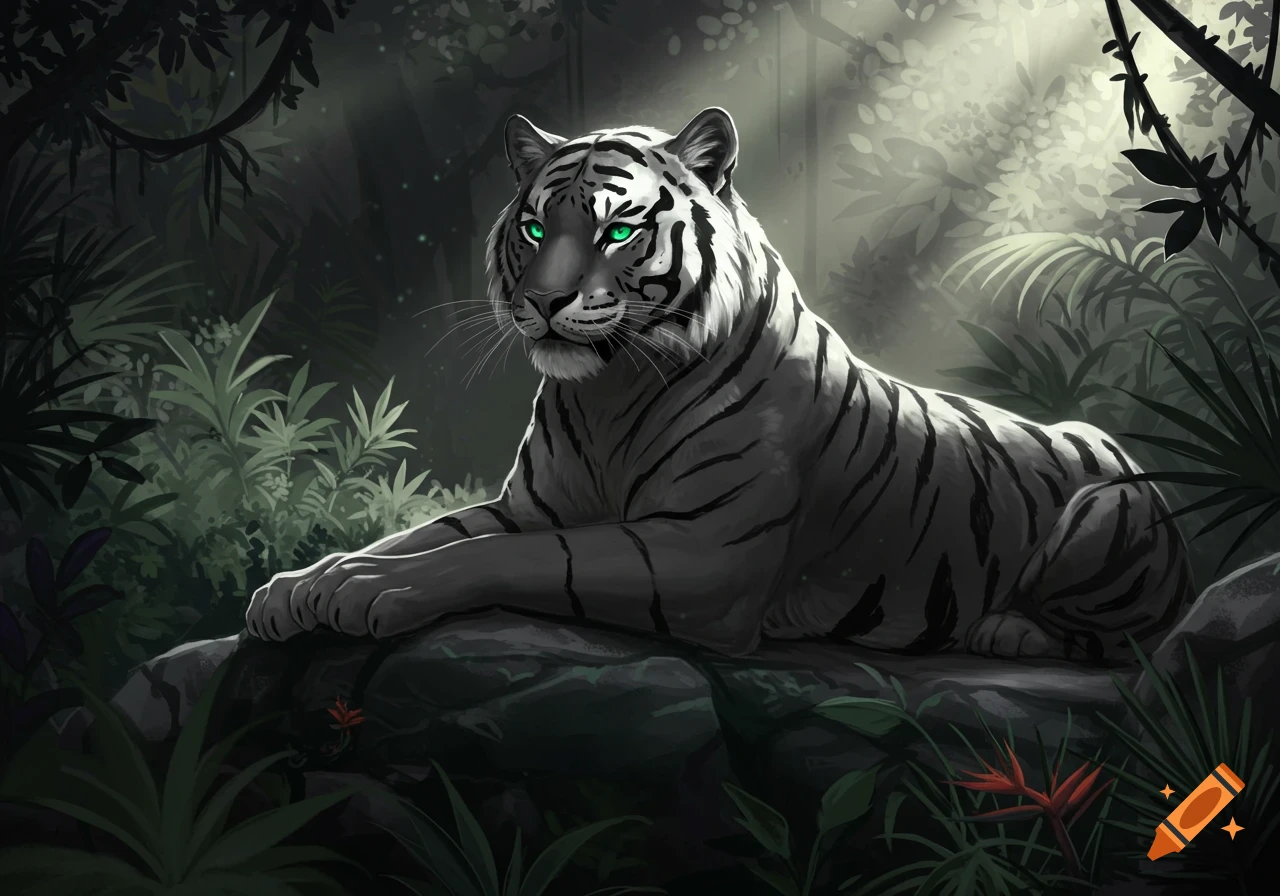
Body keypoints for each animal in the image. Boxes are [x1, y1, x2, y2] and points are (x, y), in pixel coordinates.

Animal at [245, 107, 1194, 662]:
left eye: (618, 229)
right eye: (534, 227)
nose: (543, 302)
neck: (604, 391)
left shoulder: (702, 550)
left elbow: (504, 557)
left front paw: (371, 593)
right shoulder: (532, 504)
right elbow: (426, 533)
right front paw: (305, 585)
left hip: (1104, 511)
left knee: (1121, 642)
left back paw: (1006, 628)